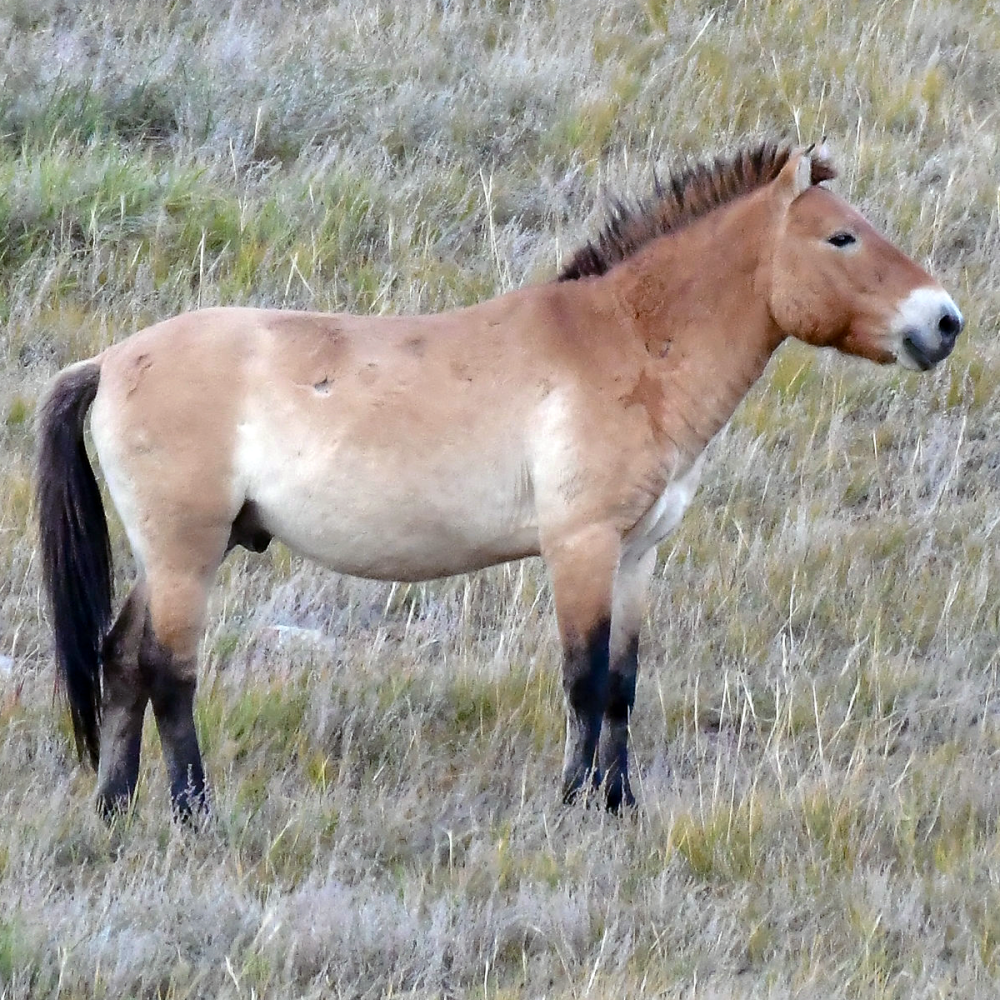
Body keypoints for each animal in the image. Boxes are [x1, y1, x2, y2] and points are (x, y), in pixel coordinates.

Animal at [35, 143, 964, 820]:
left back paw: (115, 809)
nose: (944, 321)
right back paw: (194, 814)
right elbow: (585, 679)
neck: (626, 344)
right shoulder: (580, 546)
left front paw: (620, 803)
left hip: (173, 557)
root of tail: (108, 362)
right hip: (186, 557)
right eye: (842, 237)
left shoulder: (636, 555)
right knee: (170, 675)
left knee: (121, 660)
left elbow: (623, 685)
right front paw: (575, 803)